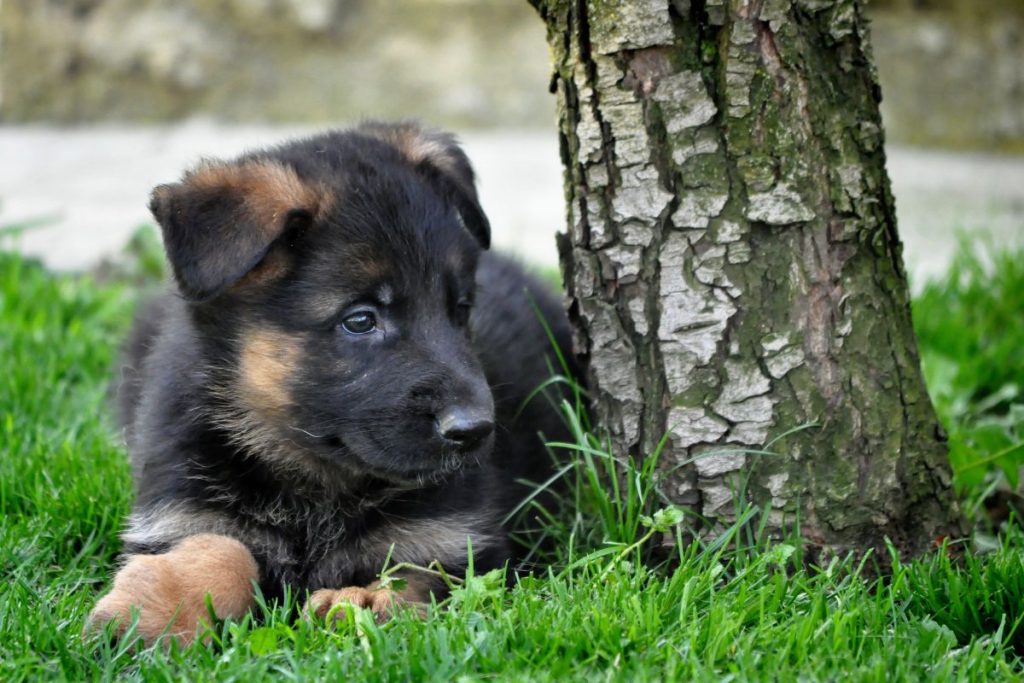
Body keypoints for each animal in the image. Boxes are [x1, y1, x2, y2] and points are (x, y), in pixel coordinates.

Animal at [88, 124, 577, 647]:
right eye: (360, 320)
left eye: (461, 309)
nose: (475, 432)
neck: (314, 482)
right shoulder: (183, 511)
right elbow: (220, 548)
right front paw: (160, 609)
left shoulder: (455, 541)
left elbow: (413, 573)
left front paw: (361, 602)